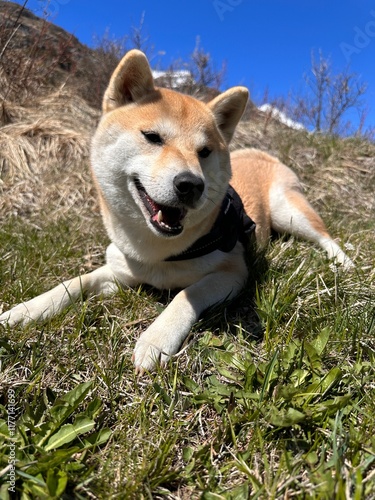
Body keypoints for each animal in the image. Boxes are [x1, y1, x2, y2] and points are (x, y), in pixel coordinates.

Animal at [0, 48, 354, 374]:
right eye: (152, 137)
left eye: (204, 152)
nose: (190, 184)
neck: (157, 253)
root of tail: (258, 152)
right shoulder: (118, 271)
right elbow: (73, 283)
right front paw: (25, 311)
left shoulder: (233, 272)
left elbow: (186, 294)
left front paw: (156, 339)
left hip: (288, 211)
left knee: (325, 237)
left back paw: (344, 263)